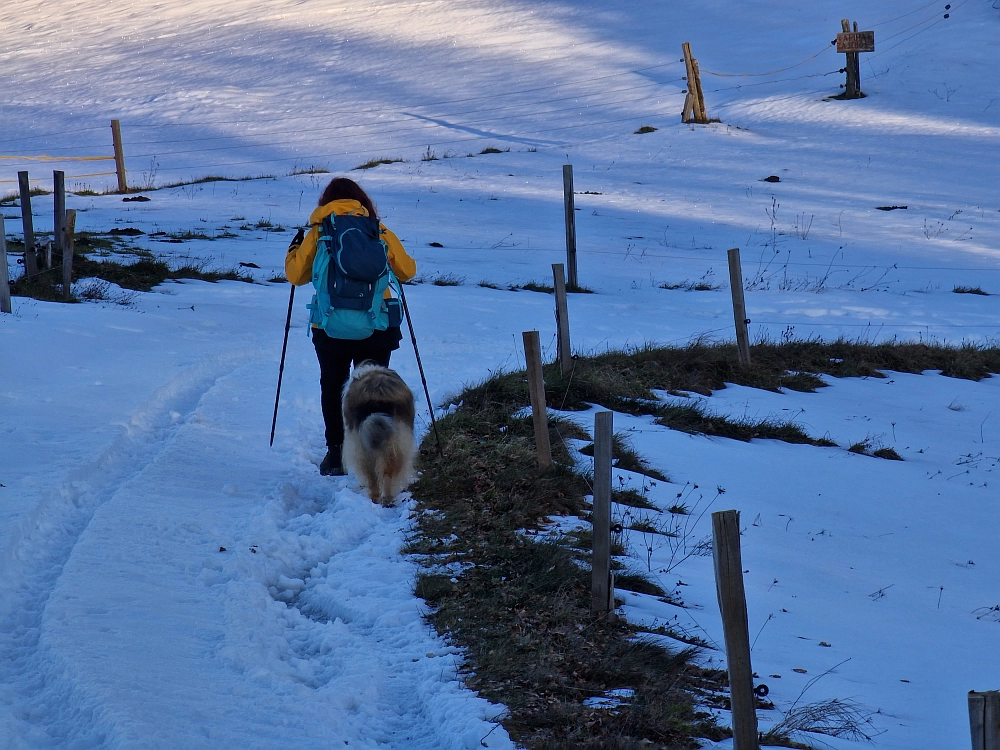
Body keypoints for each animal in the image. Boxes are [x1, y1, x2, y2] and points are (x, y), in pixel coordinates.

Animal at [338, 362, 412, 508]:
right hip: (394, 442)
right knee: (387, 472)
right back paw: (387, 499)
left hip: (363, 445)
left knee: (373, 475)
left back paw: (376, 498)